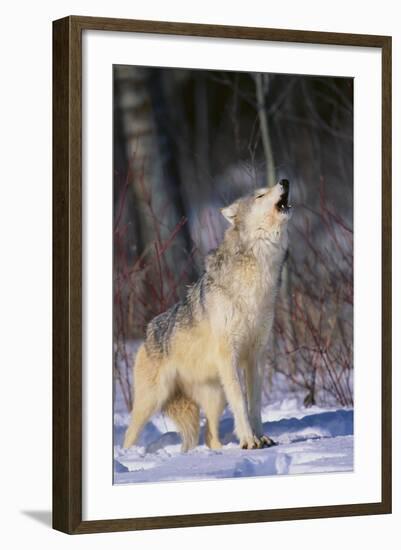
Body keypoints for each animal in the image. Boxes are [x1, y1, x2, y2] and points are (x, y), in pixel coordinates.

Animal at [122, 180, 290, 452]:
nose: (284, 181)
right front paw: (249, 440)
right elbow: (241, 402)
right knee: (129, 433)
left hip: (215, 398)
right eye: (260, 195)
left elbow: (254, 404)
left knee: (210, 437)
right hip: (150, 401)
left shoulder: (256, 356)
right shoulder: (229, 356)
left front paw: (261, 438)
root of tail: (146, 333)